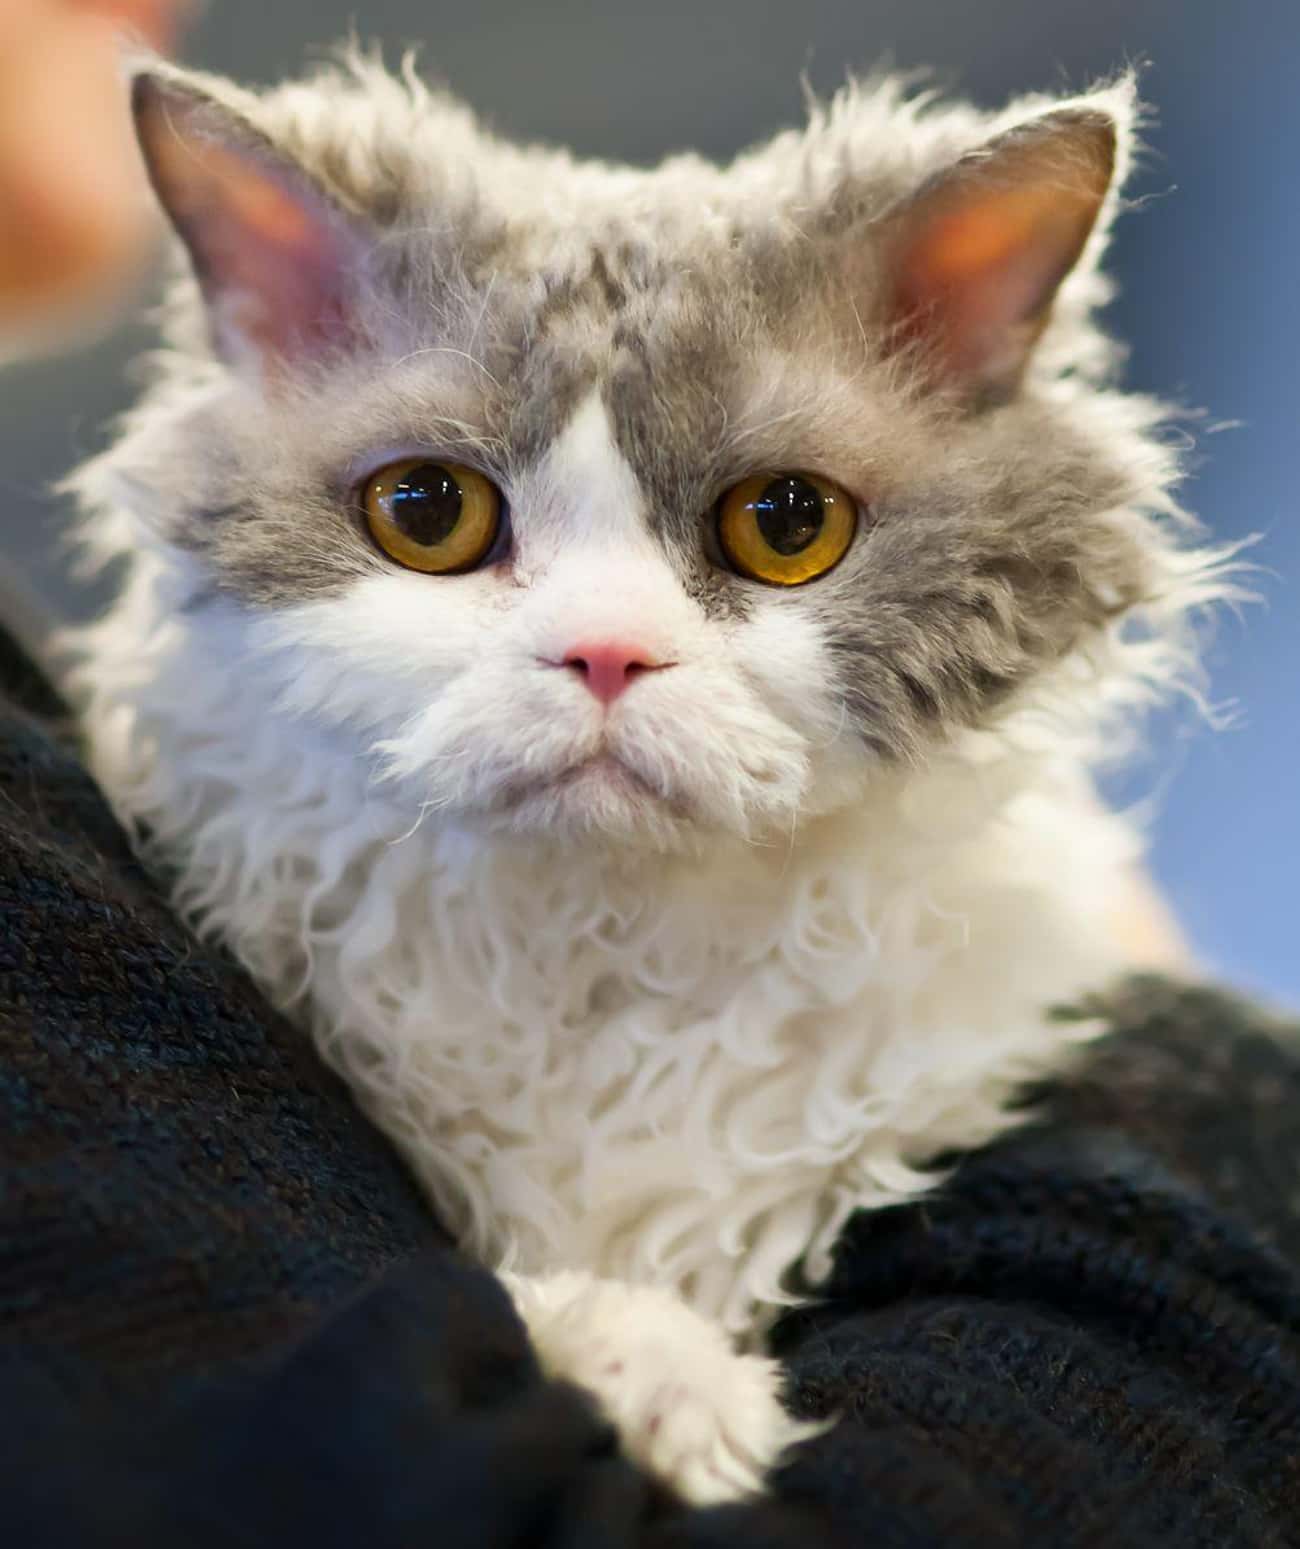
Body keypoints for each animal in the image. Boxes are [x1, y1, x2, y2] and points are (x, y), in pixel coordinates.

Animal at [63, 51, 1239, 1511]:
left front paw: (686, 1389)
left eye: (787, 525)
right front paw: (658, 1377)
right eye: (427, 512)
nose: (606, 654)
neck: (602, 943)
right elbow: (550, 1299)